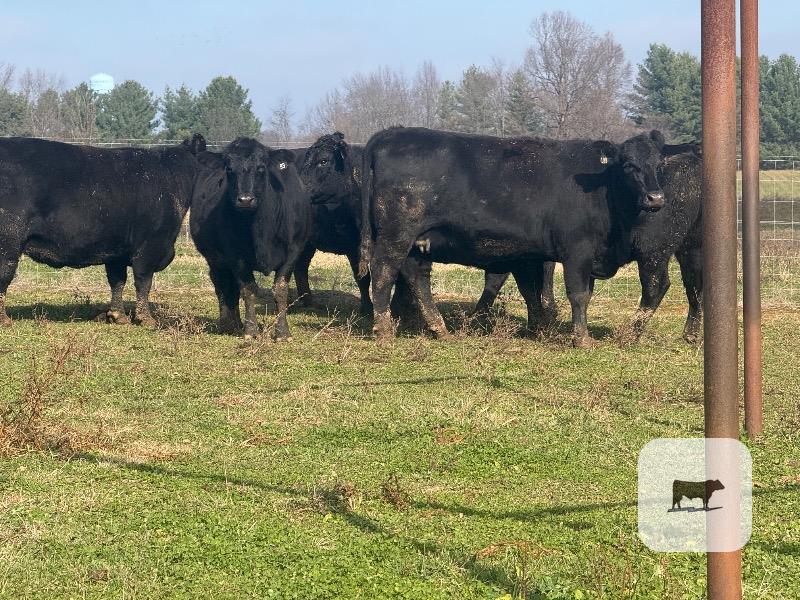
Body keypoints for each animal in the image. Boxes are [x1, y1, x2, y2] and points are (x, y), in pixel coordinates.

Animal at [0, 134, 207, 327]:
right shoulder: (151, 246)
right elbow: (143, 281)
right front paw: (146, 319)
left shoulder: (116, 251)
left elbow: (117, 281)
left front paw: (118, 316)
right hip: (8, 243)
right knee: (4, 275)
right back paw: (4, 320)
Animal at [190, 138, 311, 341]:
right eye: (229, 169)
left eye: (261, 168)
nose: (245, 199)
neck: (261, 230)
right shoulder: (235, 256)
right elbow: (248, 290)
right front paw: (251, 331)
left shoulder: (294, 250)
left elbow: (280, 289)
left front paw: (282, 332)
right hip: (214, 258)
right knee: (222, 283)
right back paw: (229, 324)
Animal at [358, 127, 669, 347]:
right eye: (628, 165)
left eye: (659, 165)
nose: (655, 198)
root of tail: (392, 132)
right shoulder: (577, 251)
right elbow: (578, 295)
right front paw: (581, 339)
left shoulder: (536, 255)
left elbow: (534, 291)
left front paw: (542, 330)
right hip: (396, 236)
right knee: (384, 272)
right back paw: (384, 332)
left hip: (418, 242)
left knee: (416, 278)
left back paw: (440, 329)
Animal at [472, 144, 703, 343]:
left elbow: (505, 280)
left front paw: (477, 318)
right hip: (691, 247)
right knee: (695, 285)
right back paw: (690, 335)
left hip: (653, 250)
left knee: (657, 286)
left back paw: (630, 335)